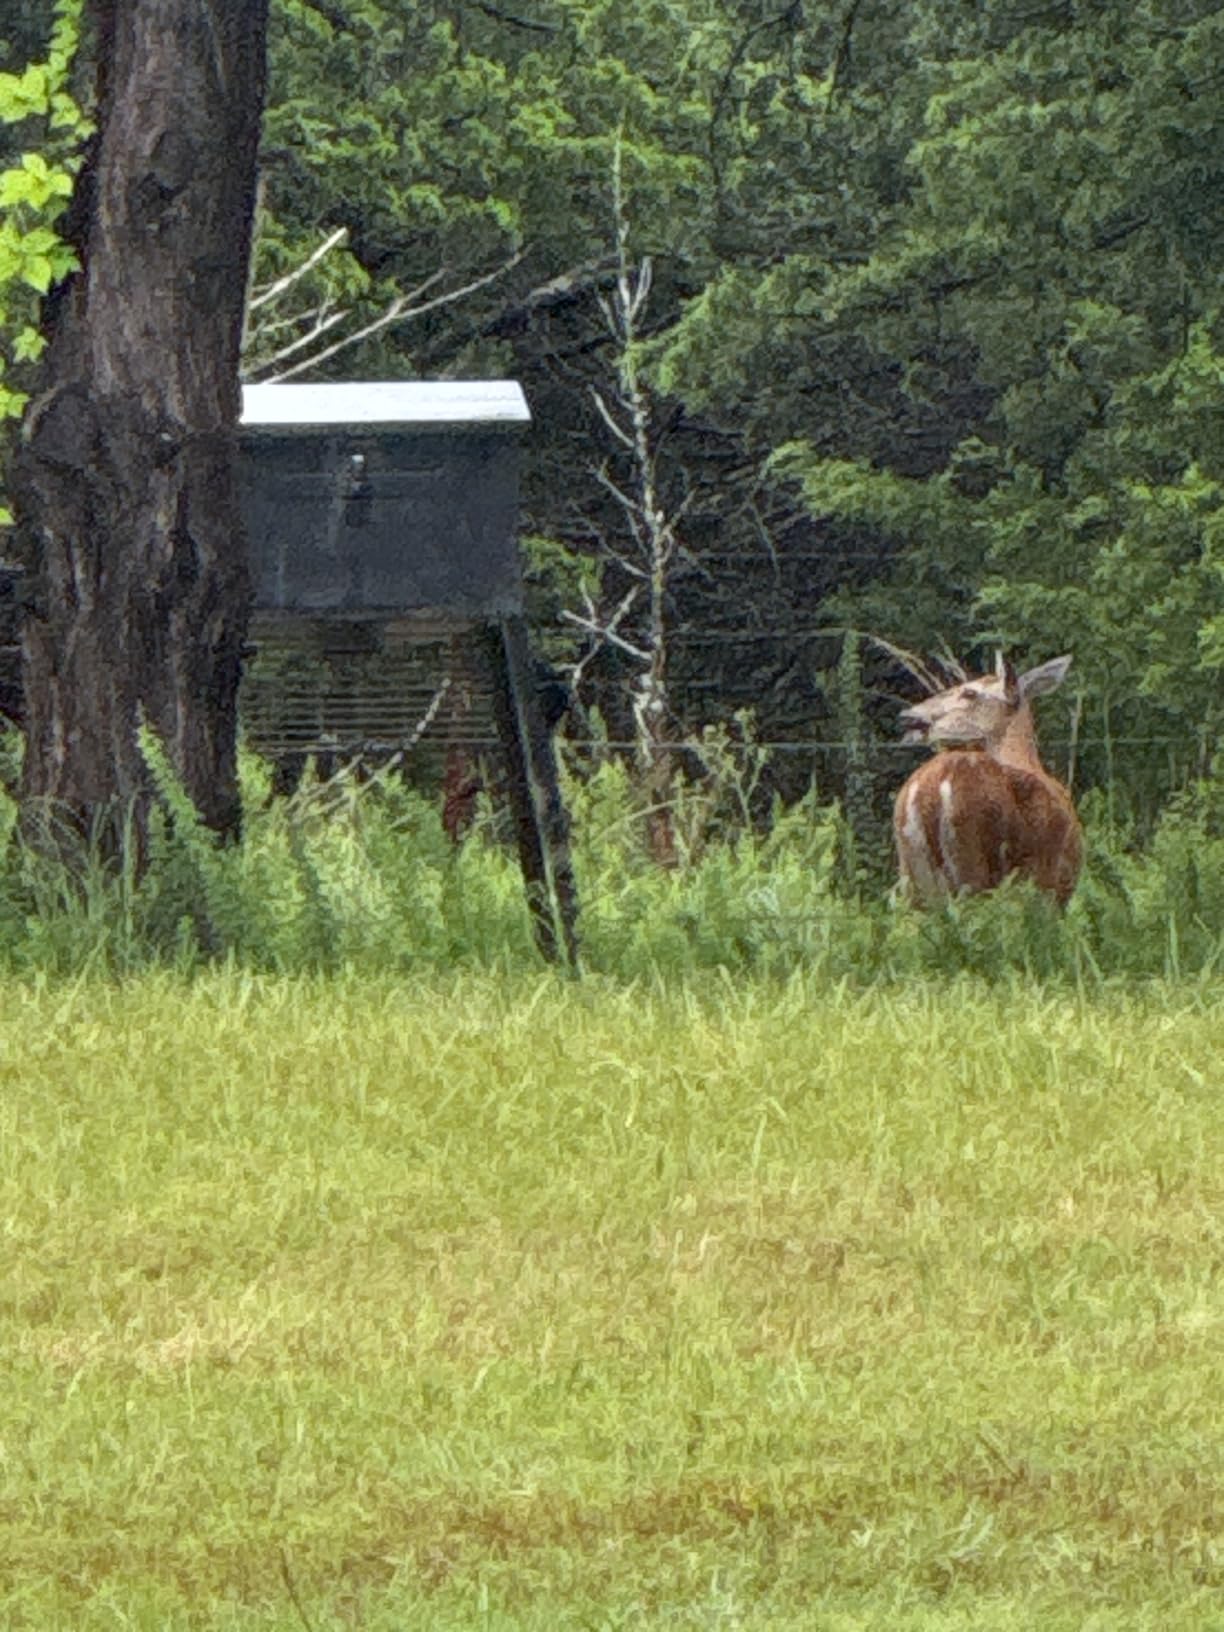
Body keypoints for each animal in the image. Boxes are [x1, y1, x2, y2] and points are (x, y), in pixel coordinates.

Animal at [892, 652, 1083, 906]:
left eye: (969, 692)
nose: (908, 716)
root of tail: (927, 791)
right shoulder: (1055, 884)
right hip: (971, 863)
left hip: (911, 875)